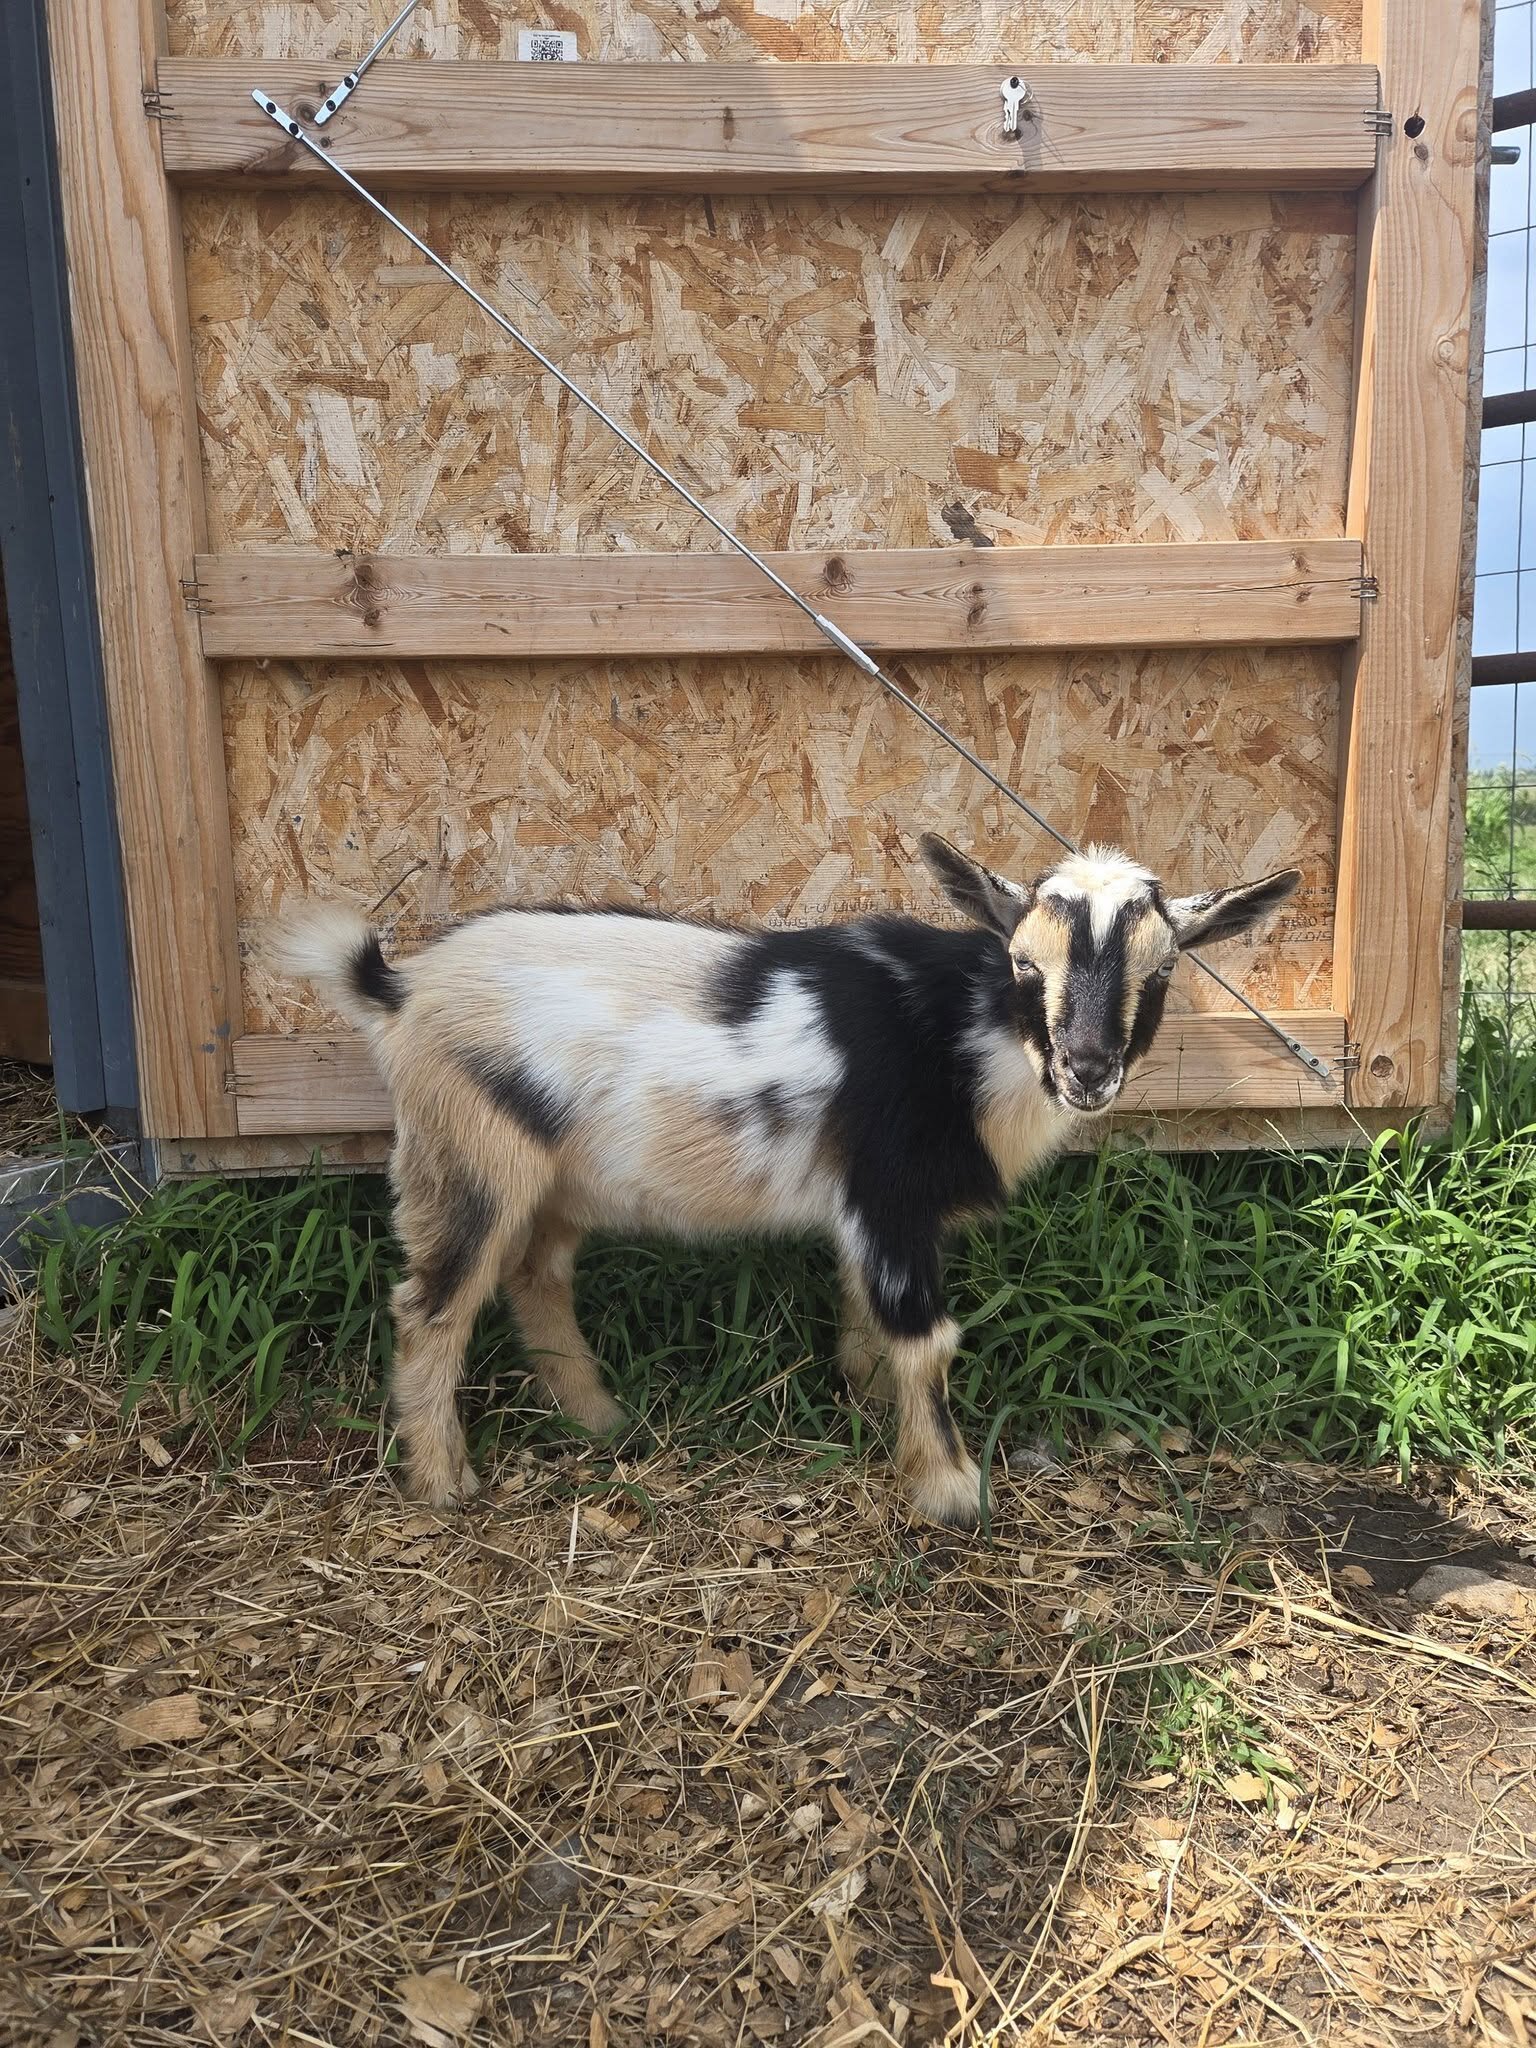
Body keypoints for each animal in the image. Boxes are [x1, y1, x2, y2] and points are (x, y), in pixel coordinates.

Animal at [278, 838, 1298, 1528]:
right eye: (1021, 962)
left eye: (1161, 973)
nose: (1087, 1070)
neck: (966, 1037)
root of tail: (398, 990)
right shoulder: (889, 1195)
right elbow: (927, 1338)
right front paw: (949, 1489)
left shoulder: (868, 1213)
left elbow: (866, 1323)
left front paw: (873, 1411)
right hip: (468, 1159)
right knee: (432, 1305)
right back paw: (444, 1482)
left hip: (554, 1180)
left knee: (537, 1276)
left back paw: (600, 1421)